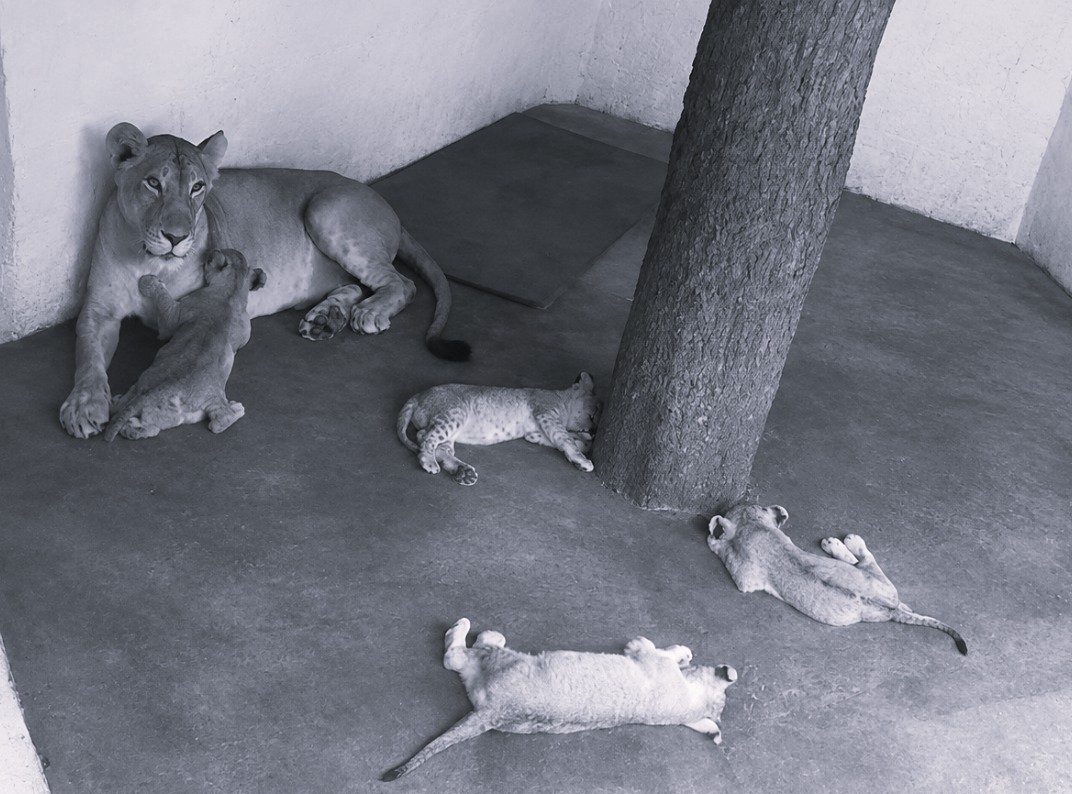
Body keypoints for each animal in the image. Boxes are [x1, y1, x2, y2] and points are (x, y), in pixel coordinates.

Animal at [104, 249, 265, 441]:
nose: (211, 251)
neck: (232, 292)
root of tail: (145, 394)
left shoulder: (172, 319)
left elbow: (164, 299)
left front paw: (147, 281)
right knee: (218, 422)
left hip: (164, 401)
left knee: (218, 422)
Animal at [382, 618, 737, 780]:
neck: (690, 705)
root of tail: (492, 712)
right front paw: (686, 654)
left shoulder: (653, 661)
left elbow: (646, 648)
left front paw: (652, 645)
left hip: (503, 660)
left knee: (457, 656)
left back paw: (469, 629)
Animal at [707, 503, 967, 654]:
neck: (755, 526)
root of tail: (891, 607)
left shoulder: (746, 577)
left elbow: (726, 553)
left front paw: (713, 536)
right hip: (878, 581)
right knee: (863, 563)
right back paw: (838, 543)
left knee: (867, 556)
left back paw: (846, 541)